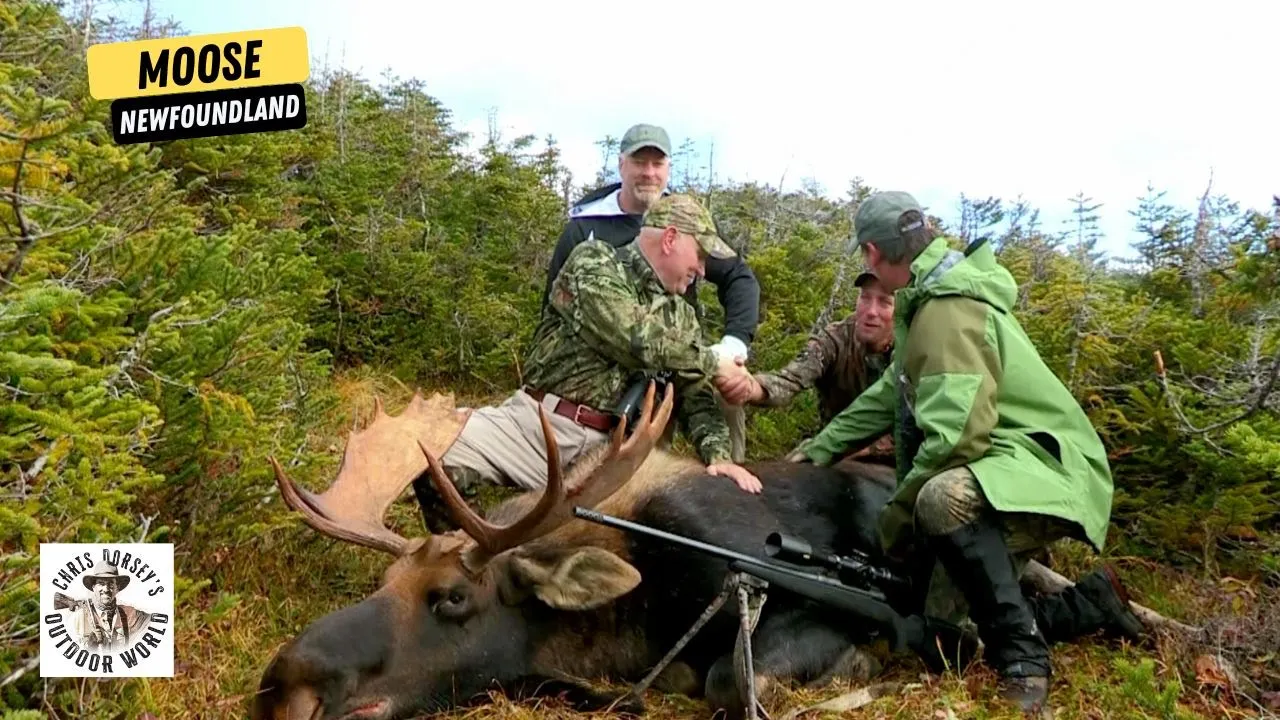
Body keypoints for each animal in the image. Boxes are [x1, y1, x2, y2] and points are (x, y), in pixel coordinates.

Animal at [249, 381, 931, 717]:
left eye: (453, 597)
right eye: (381, 582)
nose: (286, 687)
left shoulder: (808, 609)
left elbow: (730, 678)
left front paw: (858, 668)